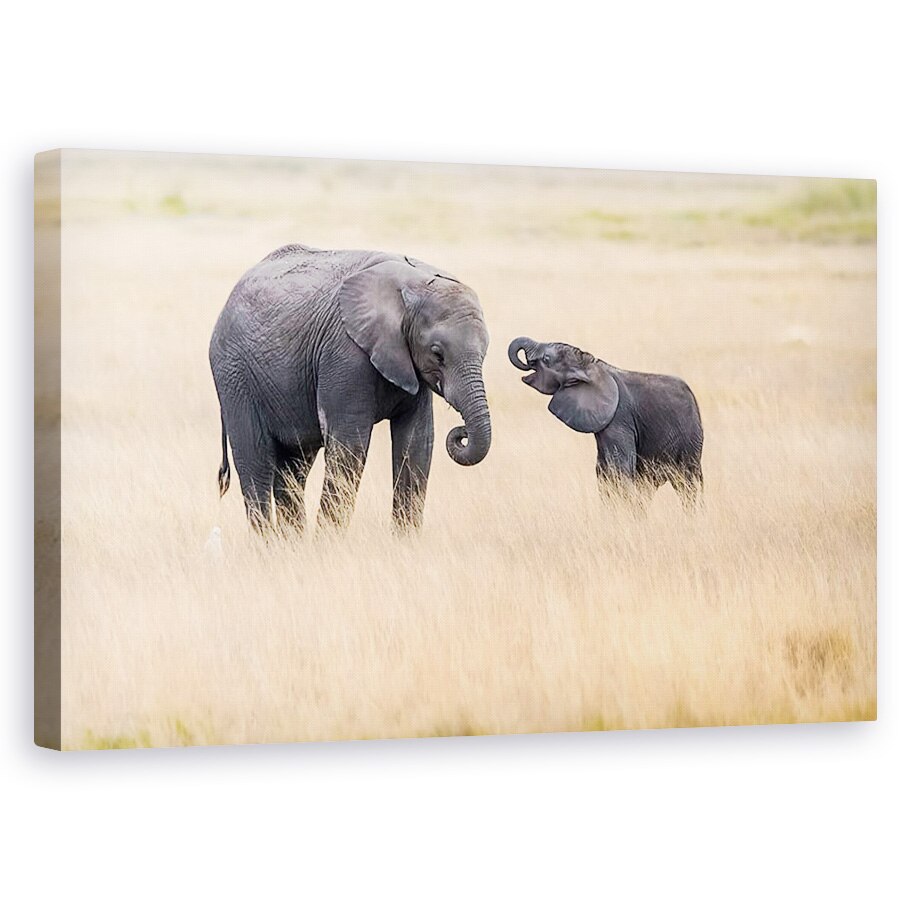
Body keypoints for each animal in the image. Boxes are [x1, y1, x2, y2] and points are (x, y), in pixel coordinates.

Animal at [210, 244, 491, 533]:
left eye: (485, 352)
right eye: (437, 354)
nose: (461, 432)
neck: (415, 281)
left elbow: (416, 442)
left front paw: (406, 541)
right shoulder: (345, 354)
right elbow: (349, 444)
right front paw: (329, 542)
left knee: (293, 470)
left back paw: (292, 542)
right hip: (234, 375)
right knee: (256, 462)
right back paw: (269, 543)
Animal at [508, 337, 703, 504]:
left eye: (546, 359)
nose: (527, 362)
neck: (590, 364)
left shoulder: (619, 419)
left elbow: (620, 470)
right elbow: (603, 474)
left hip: (691, 441)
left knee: (688, 485)